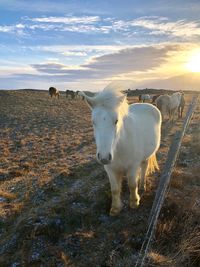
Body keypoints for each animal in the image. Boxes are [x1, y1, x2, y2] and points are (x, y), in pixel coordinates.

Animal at [79, 89, 162, 217]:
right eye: (93, 122)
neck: (118, 148)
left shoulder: (132, 167)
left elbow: (132, 185)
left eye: (116, 121)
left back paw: (142, 186)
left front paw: (134, 202)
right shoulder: (110, 169)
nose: (104, 157)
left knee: (144, 168)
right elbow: (115, 189)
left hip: (146, 157)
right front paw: (115, 208)